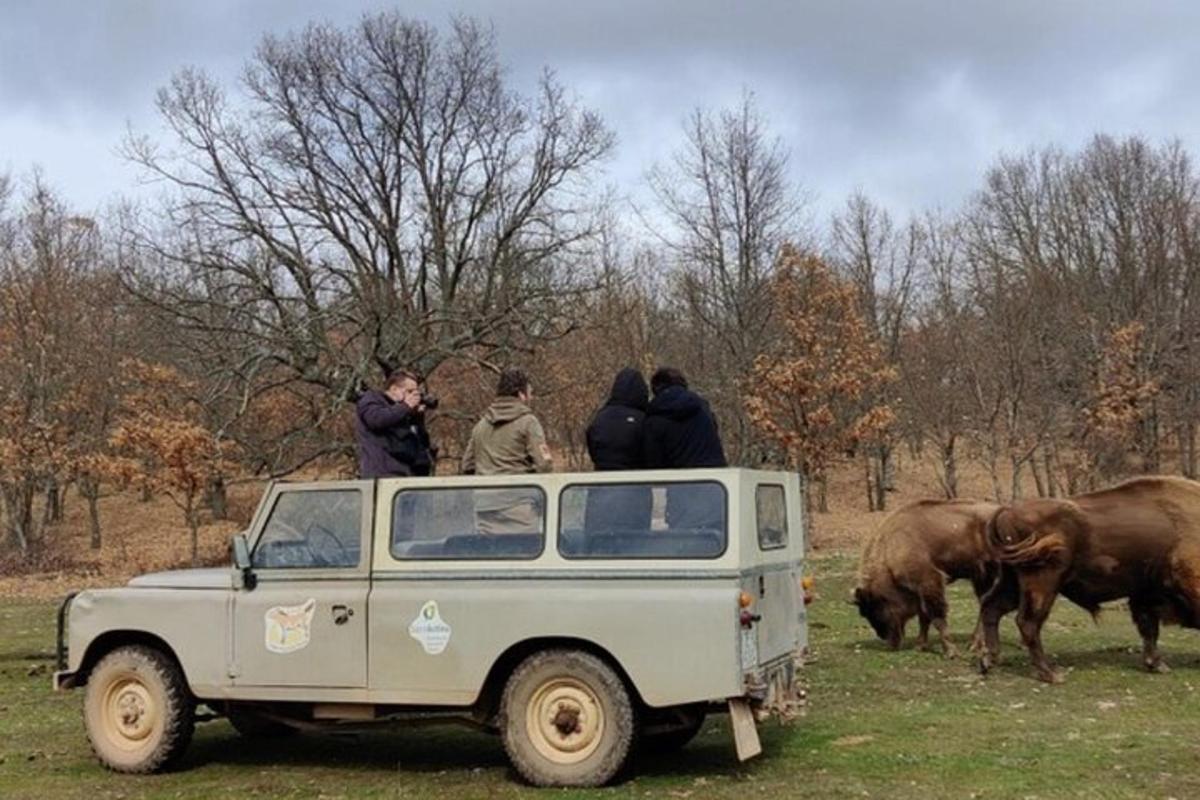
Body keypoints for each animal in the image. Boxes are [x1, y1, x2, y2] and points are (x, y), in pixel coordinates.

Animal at [854, 501, 1012, 657]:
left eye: (875, 607)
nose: (885, 638)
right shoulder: (921, 590)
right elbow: (924, 617)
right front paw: (920, 646)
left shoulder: (929, 581)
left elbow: (936, 616)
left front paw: (951, 652)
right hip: (981, 577)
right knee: (985, 604)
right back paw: (976, 644)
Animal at [979, 474, 1200, 681]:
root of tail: (1007, 511)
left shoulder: (1144, 593)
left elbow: (1149, 629)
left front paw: (1157, 665)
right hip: (1043, 582)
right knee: (1028, 621)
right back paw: (1051, 674)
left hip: (1013, 581)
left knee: (992, 607)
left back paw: (989, 661)